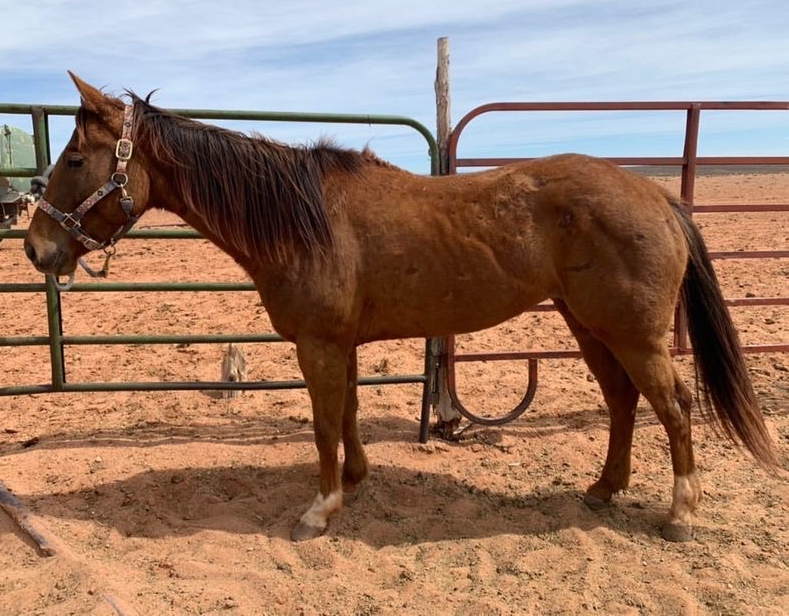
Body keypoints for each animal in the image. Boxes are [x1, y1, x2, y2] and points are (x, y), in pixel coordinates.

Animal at [26, 74, 776, 540]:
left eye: (75, 157)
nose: (36, 248)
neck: (302, 217)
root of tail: (656, 195)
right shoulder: (341, 344)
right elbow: (348, 415)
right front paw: (354, 482)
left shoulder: (319, 344)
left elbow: (323, 425)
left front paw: (319, 510)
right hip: (588, 324)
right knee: (623, 402)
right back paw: (602, 488)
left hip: (634, 333)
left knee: (673, 407)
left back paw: (679, 516)